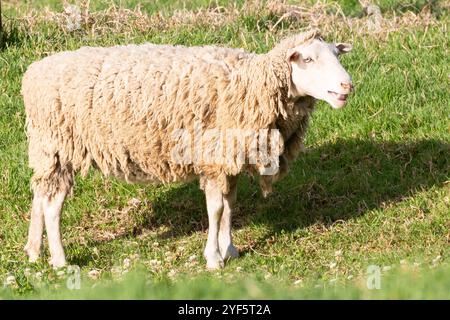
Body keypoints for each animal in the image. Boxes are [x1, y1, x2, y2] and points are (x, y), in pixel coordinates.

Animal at [22, 29, 352, 270]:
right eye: (307, 59)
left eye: (336, 54)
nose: (347, 86)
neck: (251, 86)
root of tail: (33, 73)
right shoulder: (214, 157)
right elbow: (216, 209)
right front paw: (214, 258)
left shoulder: (228, 159)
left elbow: (230, 204)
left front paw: (230, 249)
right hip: (59, 144)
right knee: (52, 206)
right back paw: (60, 260)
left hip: (46, 150)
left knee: (39, 193)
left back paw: (34, 251)